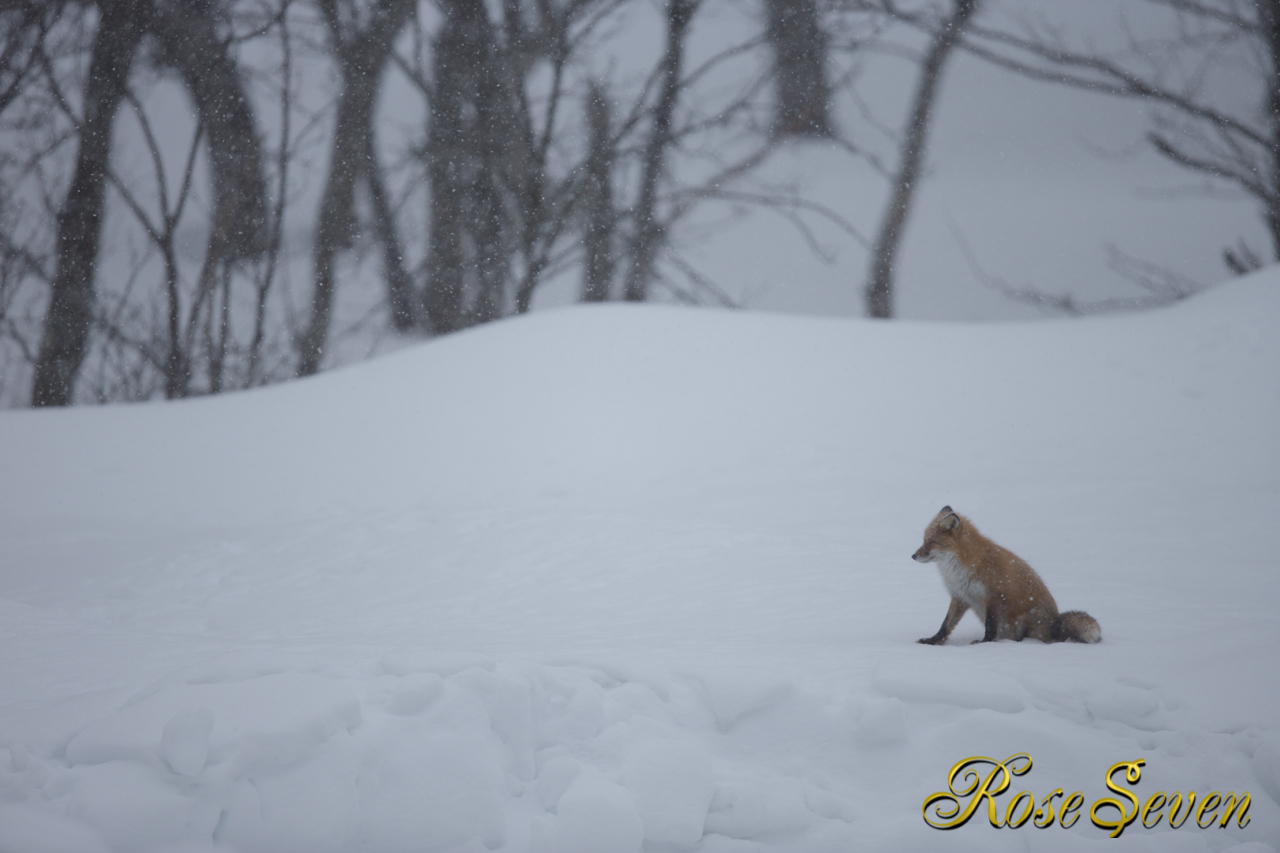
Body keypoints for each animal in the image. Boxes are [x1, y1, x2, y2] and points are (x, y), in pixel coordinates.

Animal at [911, 507, 1100, 640]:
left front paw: (984, 644)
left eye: (931, 542)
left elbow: (990, 625)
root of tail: (1054, 623)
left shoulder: (994, 595)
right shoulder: (960, 596)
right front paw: (932, 641)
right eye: (924, 540)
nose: (913, 556)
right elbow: (946, 625)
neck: (959, 568)